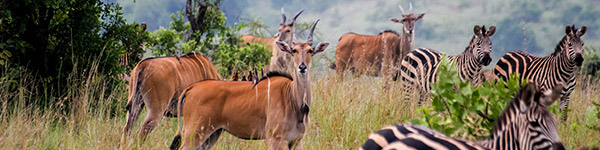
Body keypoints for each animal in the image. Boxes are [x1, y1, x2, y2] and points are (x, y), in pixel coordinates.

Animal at [169, 19, 328, 149]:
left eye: (310, 51)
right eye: (294, 50)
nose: (302, 67)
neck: (294, 100)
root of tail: (191, 88)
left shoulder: (296, 141)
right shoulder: (275, 139)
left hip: (211, 134)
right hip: (195, 132)